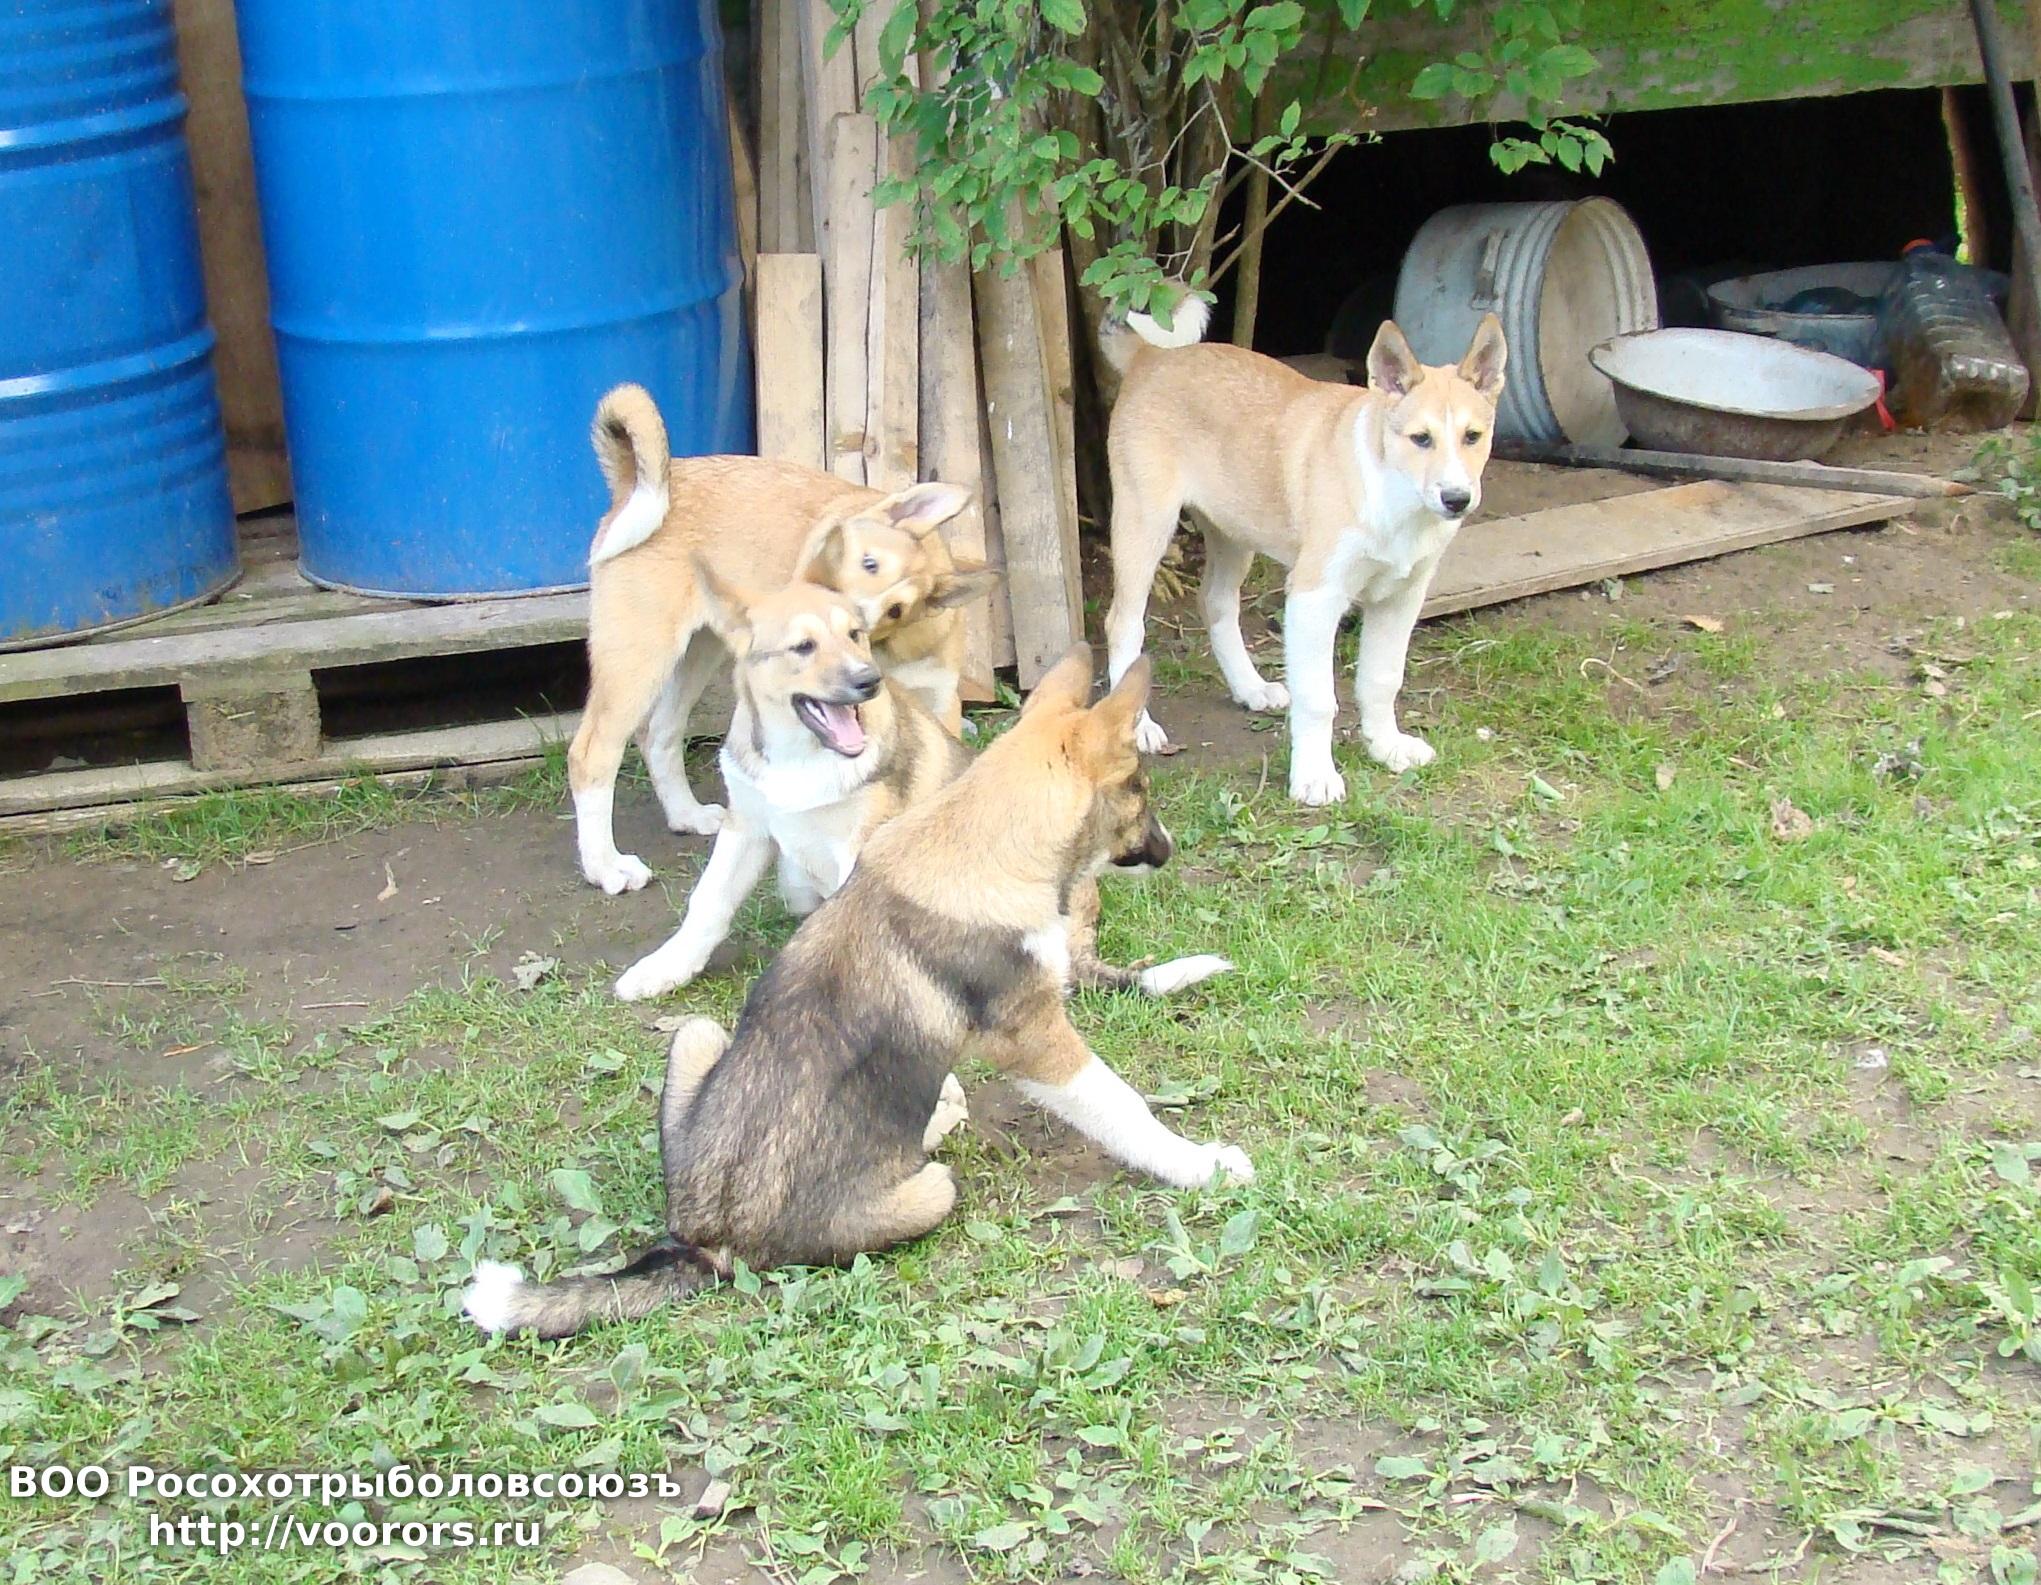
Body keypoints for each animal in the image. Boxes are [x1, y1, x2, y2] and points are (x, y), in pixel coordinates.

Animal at [463, 646, 1253, 1339]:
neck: (984, 841)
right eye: (1139, 793)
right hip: (934, 1190)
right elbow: (1123, 1107)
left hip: (698, 1036)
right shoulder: (1035, 1036)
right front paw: (1202, 1165)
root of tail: (703, 1243)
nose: (1167, 850)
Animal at [571, 384, 999, 895]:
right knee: (591, 754)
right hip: (638, 659)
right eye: (867, 562)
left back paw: (686, 815)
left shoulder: (938, 705)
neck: (888, 649)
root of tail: (638, 479)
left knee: (659, 733)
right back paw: (605, 866)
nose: (832, 612)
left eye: (897, 609)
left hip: (696, 655)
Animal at [613, 567, 1232, 1006]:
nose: (868, 682)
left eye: (856, 636)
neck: (803, 756)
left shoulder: (862, 842)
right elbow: (708, 903)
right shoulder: (748, 826)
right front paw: (662, 969)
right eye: (804, 647)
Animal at [1099, 295, 1506, 807]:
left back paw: (1250, 688)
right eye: (1421, 439)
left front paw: (1386, 747)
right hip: (1145, 524)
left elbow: (1382, 679)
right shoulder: (1316, 596)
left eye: (1473, 437)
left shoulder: (1401, 599)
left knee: (1216, 603)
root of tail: (1151, 356)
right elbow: (1318, 699)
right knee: (1123, 622)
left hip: (1235, 533)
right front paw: (1314, 777)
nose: (1456, 499)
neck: (1393, 497)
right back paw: (1141, 728)